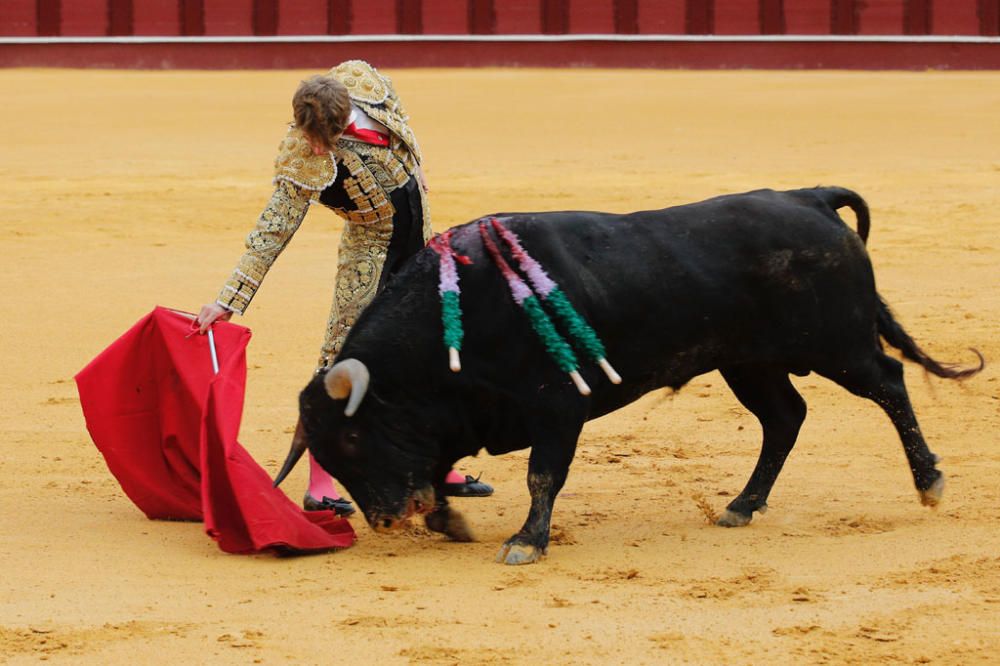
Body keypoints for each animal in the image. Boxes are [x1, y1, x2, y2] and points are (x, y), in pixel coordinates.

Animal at [278, 185, 980, 560]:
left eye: (353, 436)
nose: (385, 519)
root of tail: (807, 197)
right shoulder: (461, 416)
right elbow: (440, 466)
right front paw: (450, 522)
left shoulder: (556, 406)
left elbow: (542, 475)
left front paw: (526, 542)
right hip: (748, 364)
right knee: (785, 418)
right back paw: (740, 506)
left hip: (837, 346)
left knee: (888, 382)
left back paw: (930, 482)